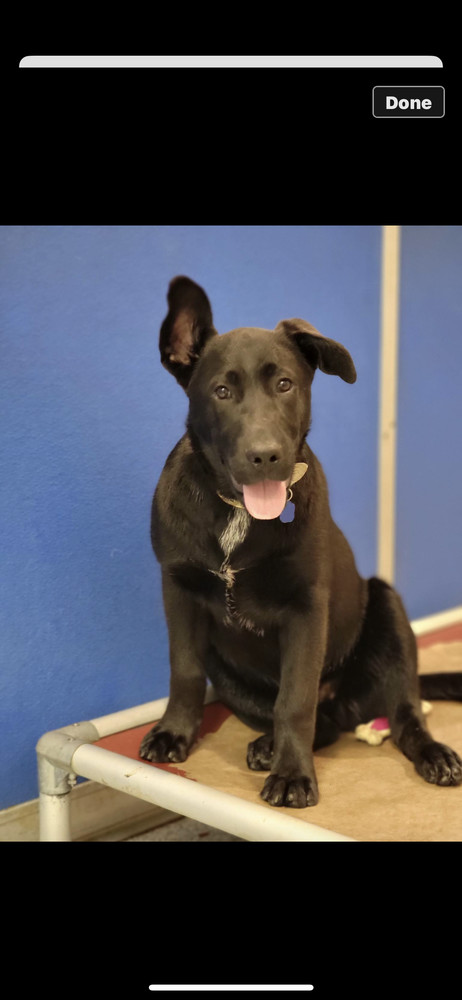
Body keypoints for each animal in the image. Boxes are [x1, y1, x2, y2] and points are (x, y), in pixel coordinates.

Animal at [140, 278, 462, 808]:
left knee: (402, 716)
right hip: (228, 673)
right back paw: (267, 745)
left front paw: (293, 775)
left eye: (285, 385)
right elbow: (183, 670)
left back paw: (431, 753)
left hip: (388, 609)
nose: (265, 455)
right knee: (322, 723)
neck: (238, 513)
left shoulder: (306, 609)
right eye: (222, 391)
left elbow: (295, 700)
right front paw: (174, 733)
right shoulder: (177, 589)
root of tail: (348, 701)